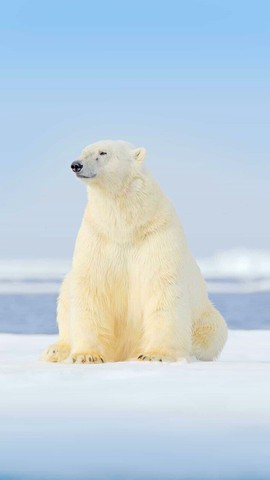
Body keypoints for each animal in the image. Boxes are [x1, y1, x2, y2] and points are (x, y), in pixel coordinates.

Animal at [42, 141, 228, 362]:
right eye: (83, 151)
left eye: (103, 152)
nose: (76, 165)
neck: (126, 227)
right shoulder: (98, 235)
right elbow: (91, 286)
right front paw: (86, 355)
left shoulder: (157, 235)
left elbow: (163, 287)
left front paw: (155, 355)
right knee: (65, 296)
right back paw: (55, 350)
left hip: (204, 315)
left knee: (213, 330)